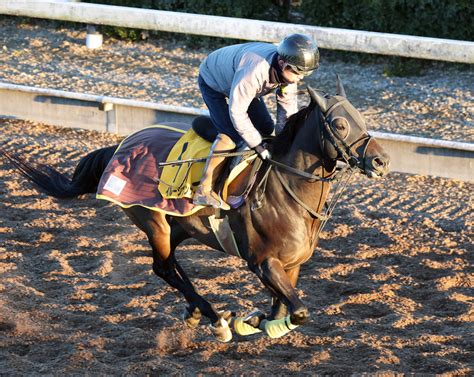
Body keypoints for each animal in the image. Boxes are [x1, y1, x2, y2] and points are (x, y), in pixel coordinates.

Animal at [0, 77, 388, 340]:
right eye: (339, 124)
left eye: (361, 118)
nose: (381, 161)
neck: (285, 190)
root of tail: (120, 145)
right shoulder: (263, 263)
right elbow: (300, 310)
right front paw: (247, 322)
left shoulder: (291, 266)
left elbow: (285, 307)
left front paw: (254, 321)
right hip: (154, 222)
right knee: (163, 267)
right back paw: (214, 318)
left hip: (179, 227)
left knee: (171, 266)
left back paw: (200, 312)